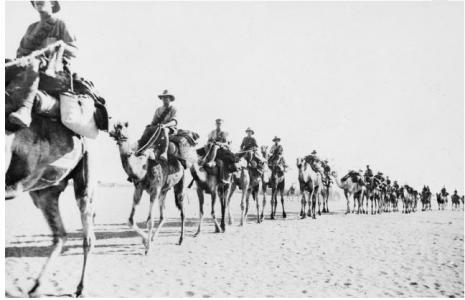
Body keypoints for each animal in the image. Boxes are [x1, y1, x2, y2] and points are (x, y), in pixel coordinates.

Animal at [5, 62, 95, 296]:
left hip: (85, 178)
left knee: (87, 236)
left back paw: (80, 288)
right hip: (44, 191)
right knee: (60, 234)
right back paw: (35, 287)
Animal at [109, 122, 190, 253]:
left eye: (123, 126)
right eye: (116, 127)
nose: (114, 131)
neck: (143, 169)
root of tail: (181, 162)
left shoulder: (154, 190)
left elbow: (149, 221)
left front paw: (147, 247)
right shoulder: (138, 189)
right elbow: (130, 220)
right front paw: (145, 241)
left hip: (180, 184)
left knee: (182, 212)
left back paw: (180, 239)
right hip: (164, 190)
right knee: (163, 215)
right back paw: (152, 238)